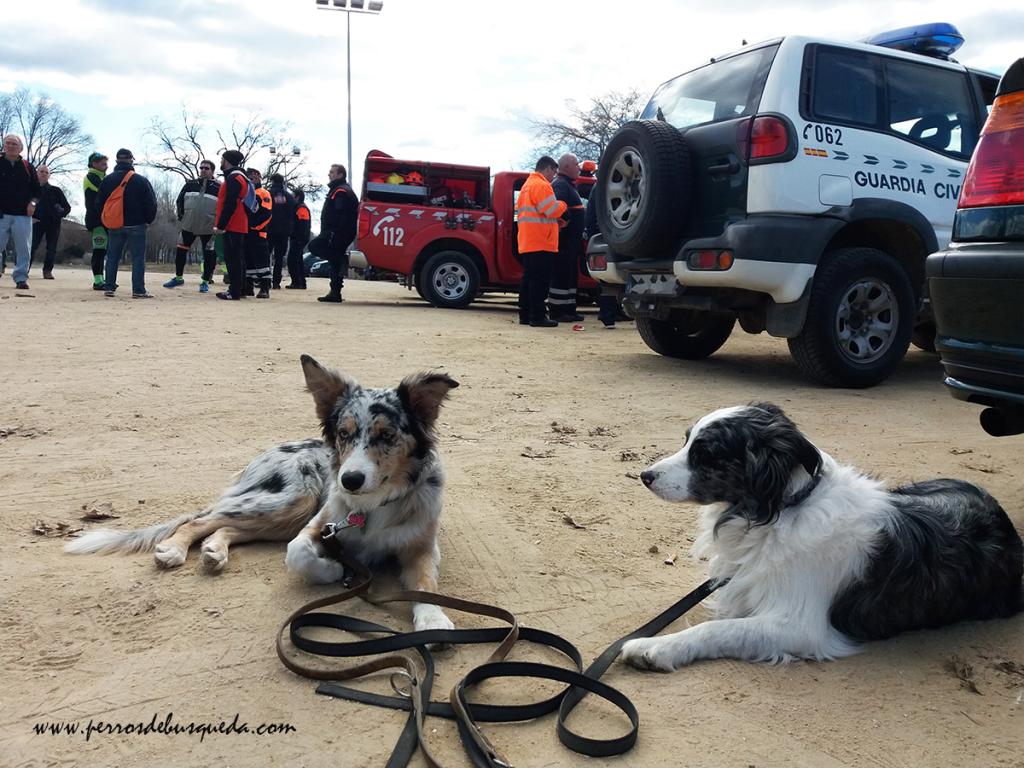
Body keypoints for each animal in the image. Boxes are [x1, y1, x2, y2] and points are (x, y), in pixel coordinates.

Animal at [618, 405, 1019, 671]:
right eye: (686, 442)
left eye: (704, 453)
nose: (645, 475)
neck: (780, 511)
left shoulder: (800, 626)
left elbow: (717, 630)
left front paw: (656, 647)